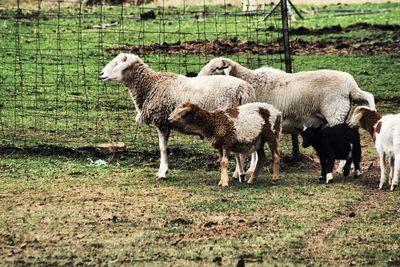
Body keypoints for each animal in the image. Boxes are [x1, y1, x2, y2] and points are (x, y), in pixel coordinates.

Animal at [100, 53, 256, 181]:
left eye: (116, 63)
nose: (101, 74)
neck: (151, 85)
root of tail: (244, 90)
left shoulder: (161, 121)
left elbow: (162, 148)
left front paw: (162, 173)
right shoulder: (165, 122)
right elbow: (163, 147)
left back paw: (240, 173)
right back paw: (242, 172)